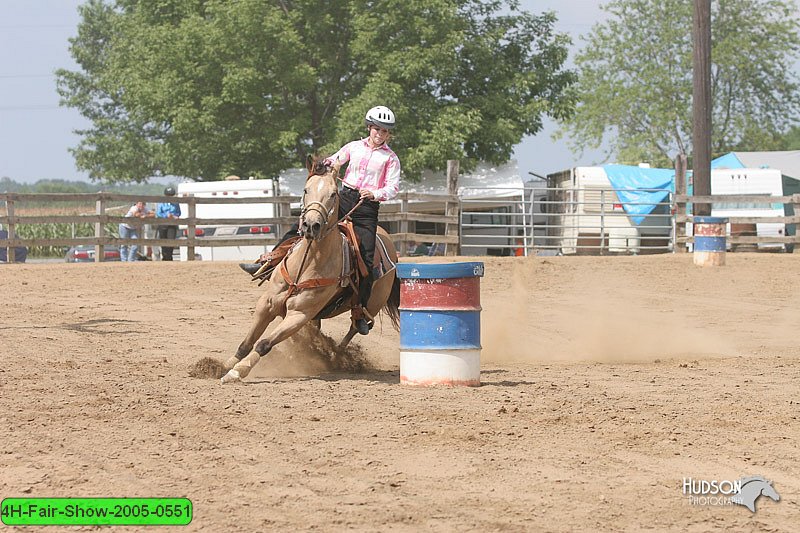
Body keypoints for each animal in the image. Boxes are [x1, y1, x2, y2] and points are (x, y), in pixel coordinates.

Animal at [219, 154, 400, 382]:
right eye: (306, 190)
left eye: (333, 194)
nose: (311, 225)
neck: (307, 262)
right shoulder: (267, 303)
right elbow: (247, 341)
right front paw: (223, 365)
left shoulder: (300, 314)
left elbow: (264, 344)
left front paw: (237, 371)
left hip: (371, 305)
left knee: (353, 328)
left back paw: (336, 356)